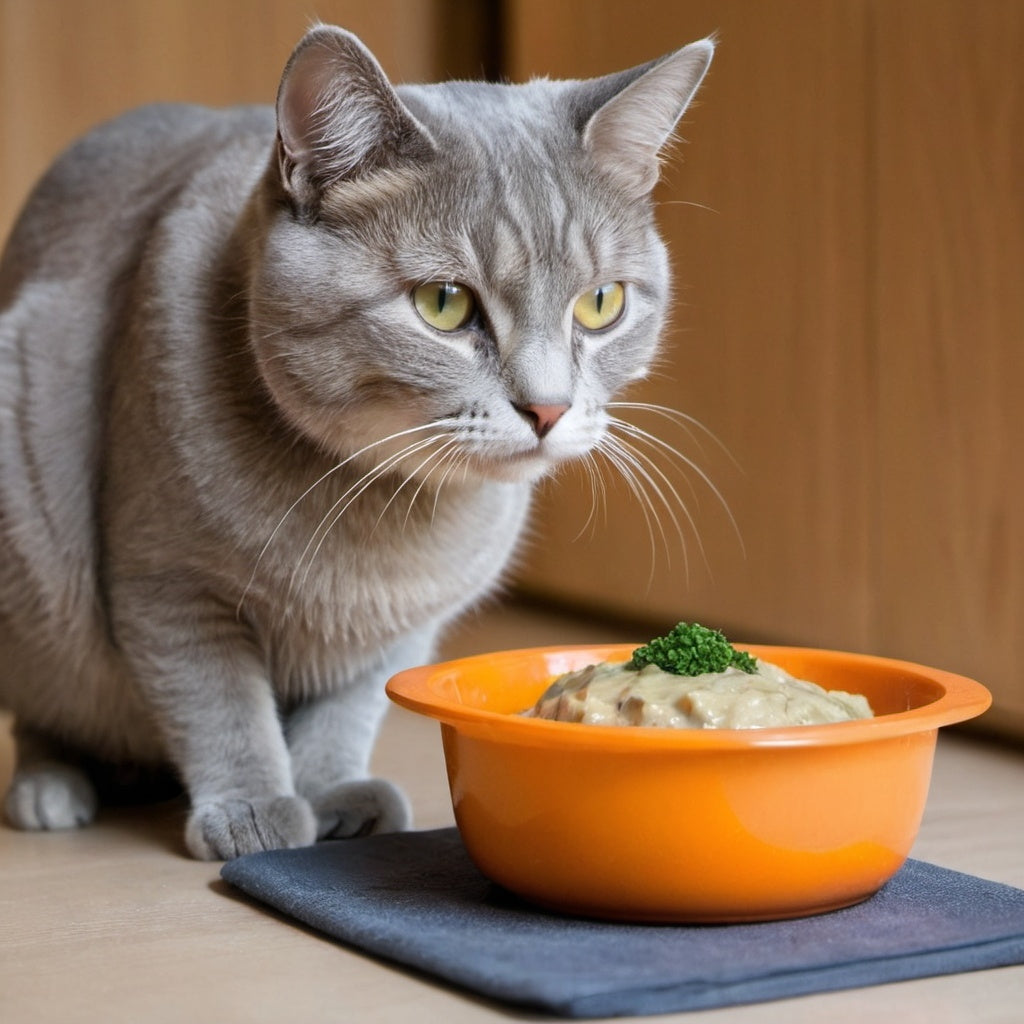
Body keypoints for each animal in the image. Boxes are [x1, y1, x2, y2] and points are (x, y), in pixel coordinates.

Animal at [0, 24, 712, 856]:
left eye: (601, 303)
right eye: (444, 304)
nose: (547, 408)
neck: (378, 514)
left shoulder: (403, 625)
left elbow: (347, 710)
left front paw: (331, 795)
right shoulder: (168, 587)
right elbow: (220, 704)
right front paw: (254, 809)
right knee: (48, 712)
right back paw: (50, 787)